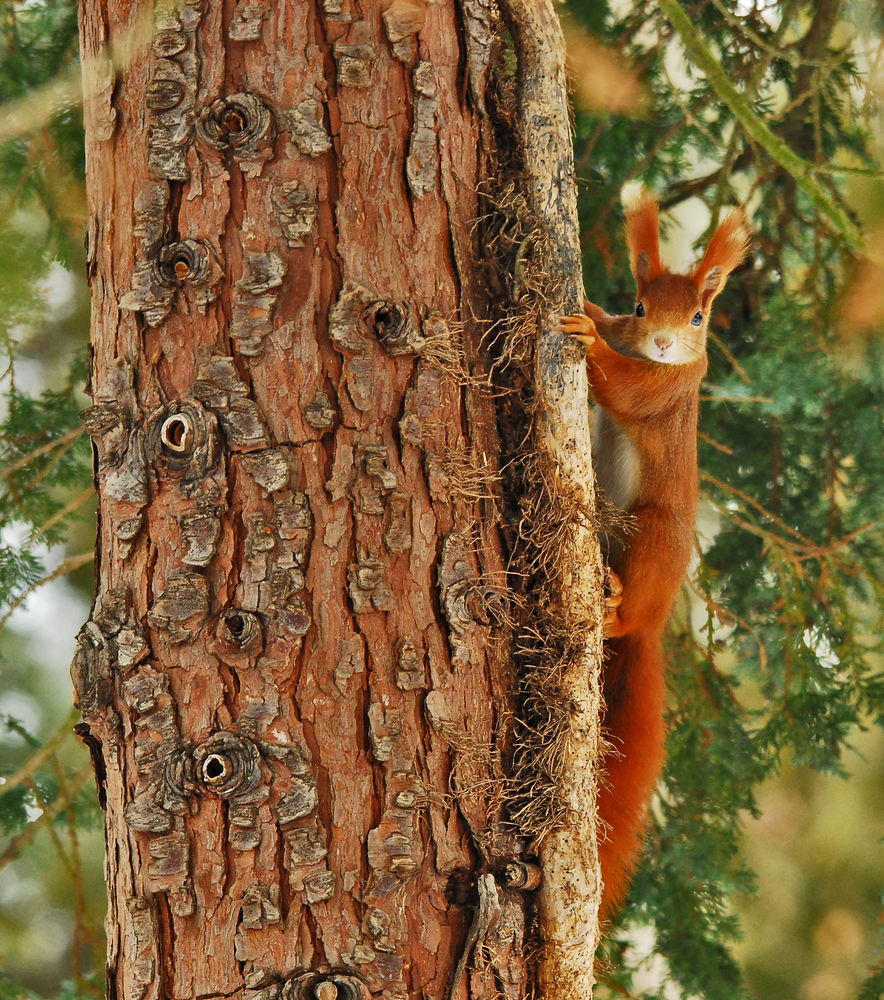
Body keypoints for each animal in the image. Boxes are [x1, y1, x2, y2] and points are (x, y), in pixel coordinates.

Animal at [556, 191, 748, 916]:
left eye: (697, 317)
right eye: (641, 307)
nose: (664, 342)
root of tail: (655, 621)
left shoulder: (669, 389)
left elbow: (625, 388)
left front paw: (584, 341)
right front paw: (587, 311)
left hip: (653, 543)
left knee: (626, 610)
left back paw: (613, 604)